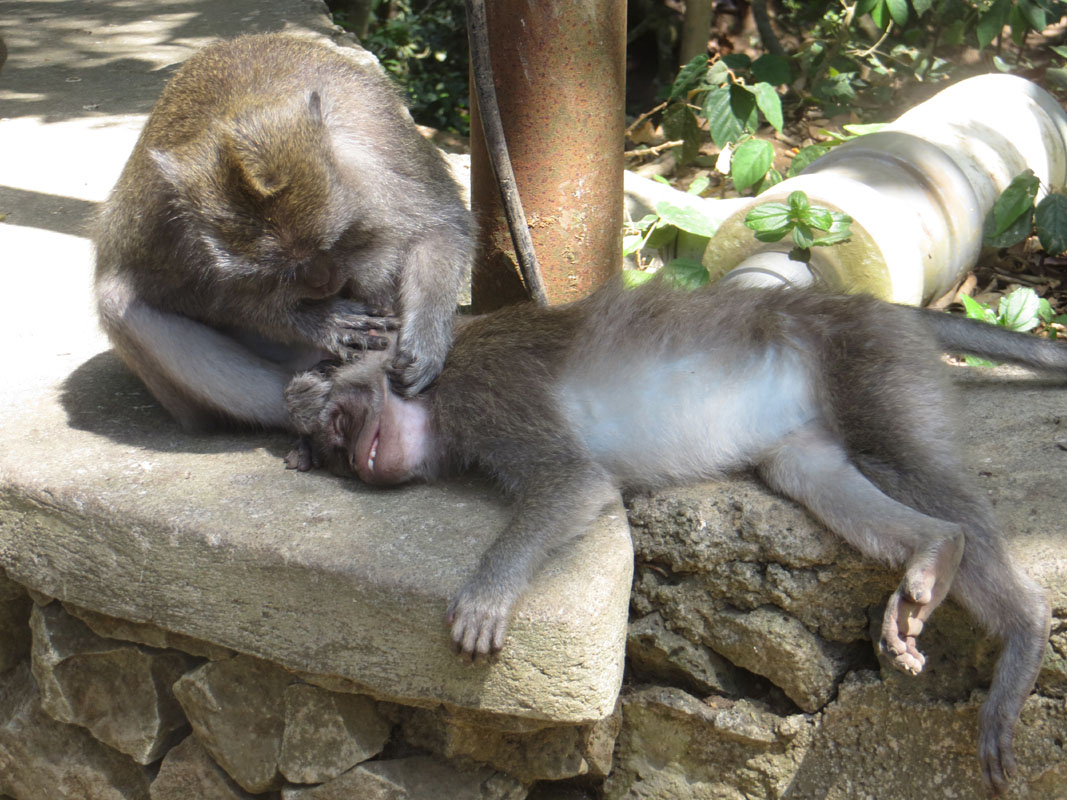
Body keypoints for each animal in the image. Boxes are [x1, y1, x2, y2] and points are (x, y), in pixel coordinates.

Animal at [93, 32, 473, 430]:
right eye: (276, 272)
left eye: (335, 243)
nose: (323, 285)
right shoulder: (161, 227)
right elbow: (209, 301)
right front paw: (317, 320)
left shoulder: (385, 145)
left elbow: (441, 227)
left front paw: (424, 345)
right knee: (117, 301)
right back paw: (301, 408)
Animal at [283, 278, 1066, 792]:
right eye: (334, 454)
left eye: (339, 425)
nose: (353, 462)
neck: (436, 397)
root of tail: (863, 304)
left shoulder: (490, 388)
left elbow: (574, 483)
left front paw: (487, 594)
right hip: (809, 428)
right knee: (823, 479)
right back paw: (935, 550)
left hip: (869, 359)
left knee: (902, 459)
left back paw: (1021, 624)